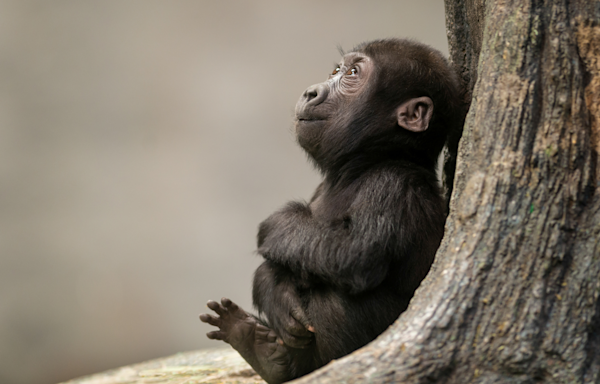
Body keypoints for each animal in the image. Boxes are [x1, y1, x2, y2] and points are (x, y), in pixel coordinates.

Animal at [202, 37, 464, 382]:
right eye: (336, 70)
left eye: (352, 74)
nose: (311, 91)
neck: (367, 161)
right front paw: (273, 288)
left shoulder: (393, 185)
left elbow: (355, 252)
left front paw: (276, 227)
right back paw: (261, 348)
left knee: (335, 299)